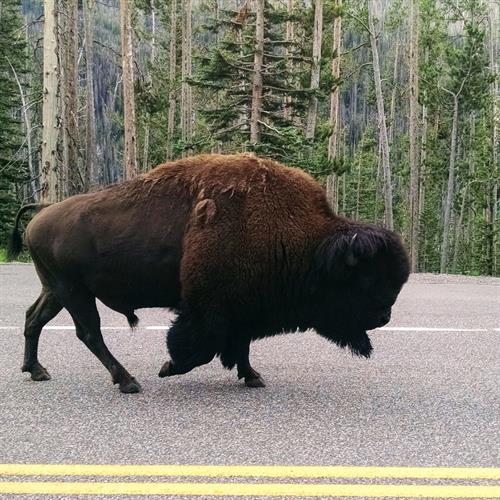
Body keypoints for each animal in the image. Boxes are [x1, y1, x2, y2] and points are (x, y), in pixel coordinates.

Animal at [8, 152, 410, 390]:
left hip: (56, 289)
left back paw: (37, 370)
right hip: (74, 291)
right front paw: (168, 367)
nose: (384, 316)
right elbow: (200, 346)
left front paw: (253, 377)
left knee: (34, 319)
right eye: (366, 279)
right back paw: (128, 381)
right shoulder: (210, 309)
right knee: (88, 333)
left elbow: (241, 345)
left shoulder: (242, 309)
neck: (308, 242)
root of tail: (43, 212)